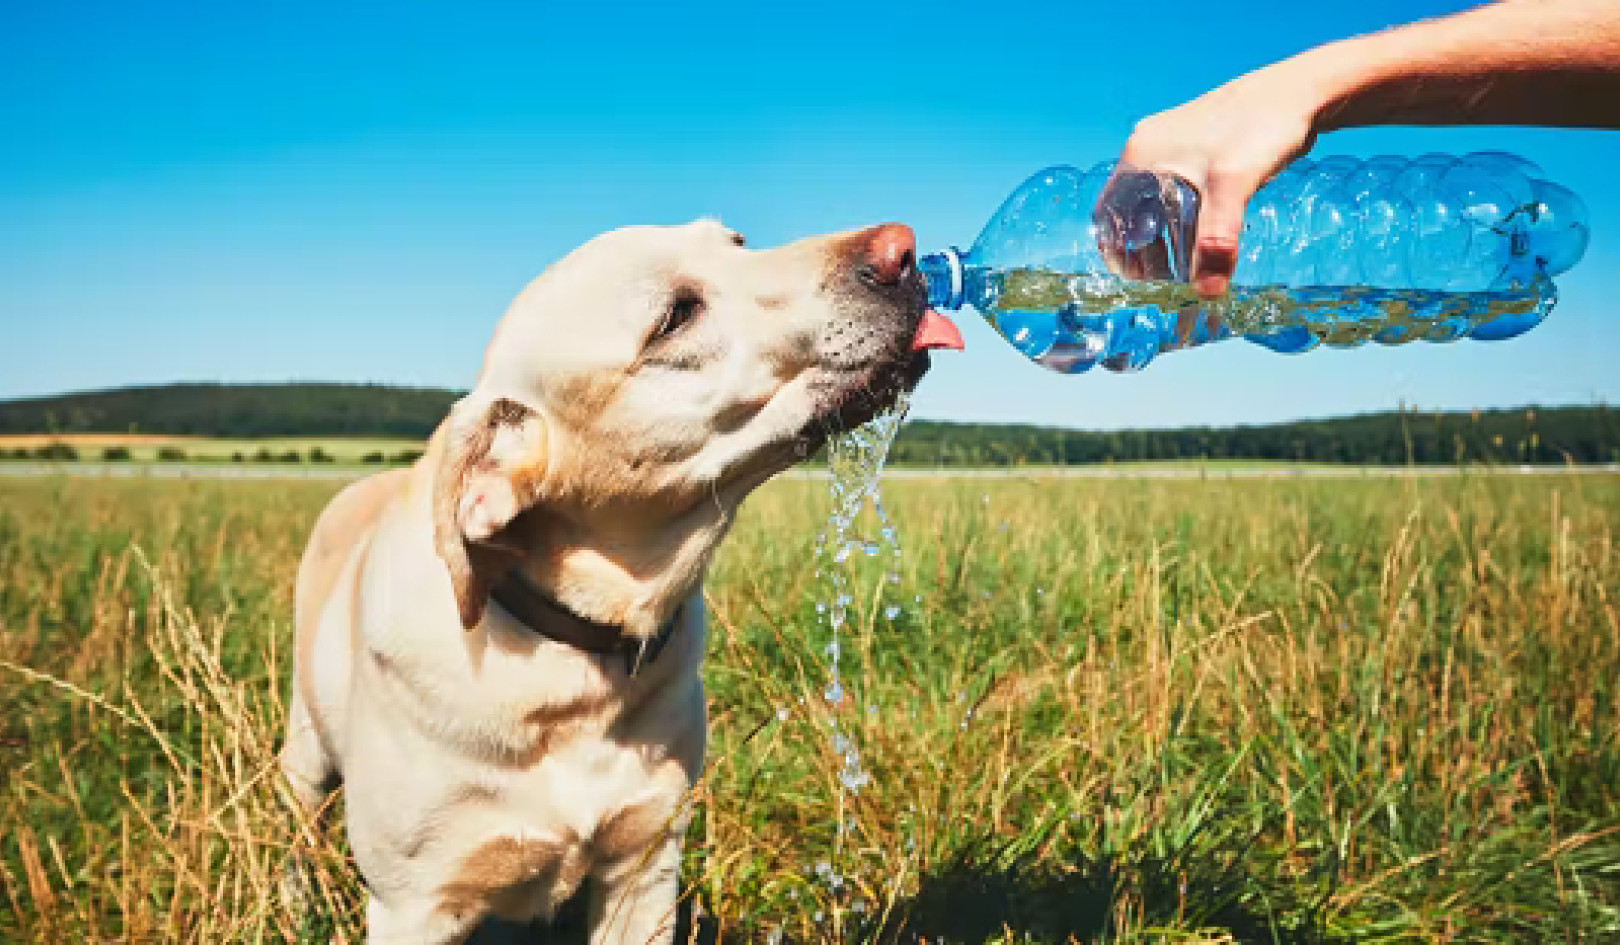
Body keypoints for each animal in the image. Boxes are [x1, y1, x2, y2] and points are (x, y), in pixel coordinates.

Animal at [278, 218, 959, 940]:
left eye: (738, 242)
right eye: (675, 317)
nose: (903, 248)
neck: (572, 660)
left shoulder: (646, 863)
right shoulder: (415, 904)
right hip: (305, 752)